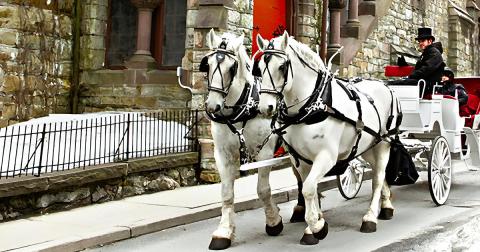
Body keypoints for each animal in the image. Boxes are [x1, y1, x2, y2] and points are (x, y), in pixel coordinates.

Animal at [202, 29, 308, 250]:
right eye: (207, 64)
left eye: (232, 67)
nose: (213, 106)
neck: (241, 109)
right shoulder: (221, 153)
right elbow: (226, 193)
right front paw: (223, 232)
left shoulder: (265, 152)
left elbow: (263, 189)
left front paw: (274, 222)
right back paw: (301, 210)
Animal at [255, 31, 402, 244]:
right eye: (258, 69)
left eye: (282, 67)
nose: (265, 107)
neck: (312, 105)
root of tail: (385, 86)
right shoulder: (300, 159)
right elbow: (309, 188)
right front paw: (315, 223)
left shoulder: (326, 156)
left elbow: (308, 188)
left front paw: (316, 227)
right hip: (368, 146)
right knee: (377, 174)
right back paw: (386, 205)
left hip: (383, 143)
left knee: (377, 177)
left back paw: (370, 217)